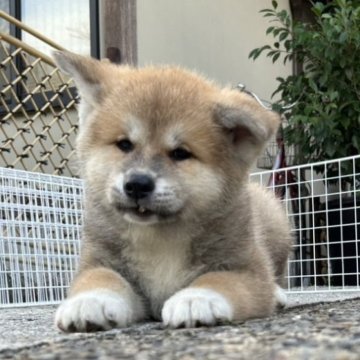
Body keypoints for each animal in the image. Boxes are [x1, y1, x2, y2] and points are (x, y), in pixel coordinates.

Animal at [52, 50, 292, 332]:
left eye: (180, 153)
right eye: (124, 144)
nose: (137, 184)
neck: (160, 237)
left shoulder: (246, 268)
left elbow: (220, 280)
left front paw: (196, 298)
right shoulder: (101, 260)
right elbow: (99, 277)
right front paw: (89, 301)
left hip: (277, 225)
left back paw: (278, 294)